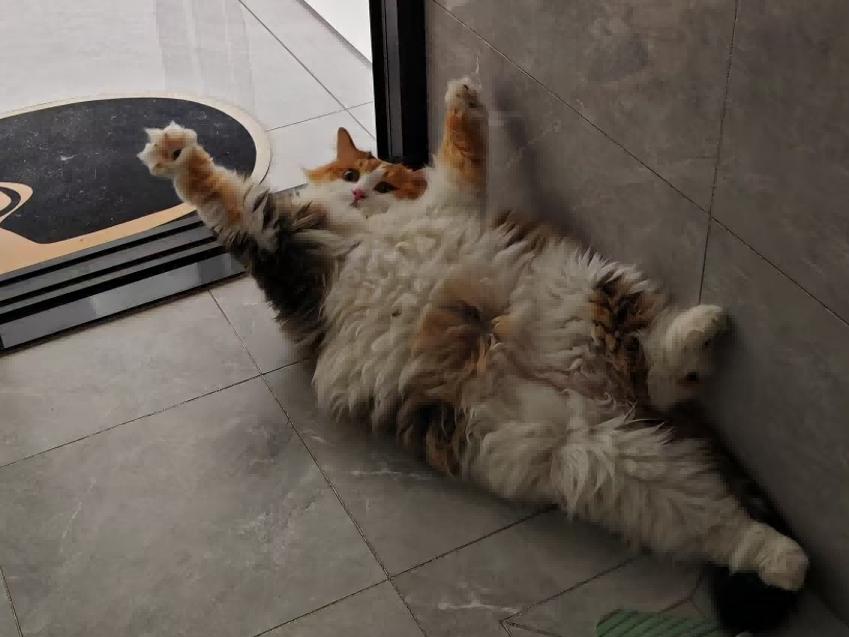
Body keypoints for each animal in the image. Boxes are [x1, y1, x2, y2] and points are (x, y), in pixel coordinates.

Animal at [139, 78, 808, 631]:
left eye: (383, 182)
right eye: (352, 175)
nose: (360, 195)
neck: (372, 230)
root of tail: (607, 393)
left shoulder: (430, 208)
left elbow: (461, 152)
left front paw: (464, 95)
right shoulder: (287, 250)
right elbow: (224, 196)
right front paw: (174, 153)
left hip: (580, 289)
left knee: (662, 367)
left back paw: (705, 329)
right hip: (598, 458)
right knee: (706, 501)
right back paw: (786, 558)